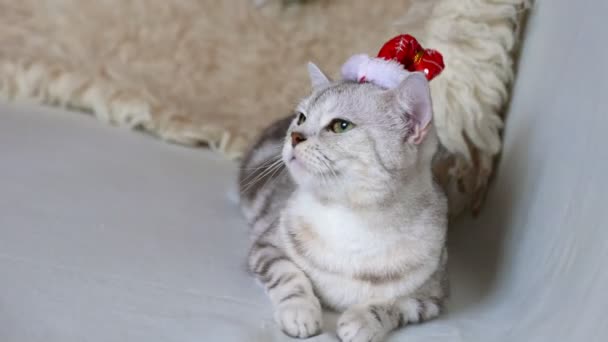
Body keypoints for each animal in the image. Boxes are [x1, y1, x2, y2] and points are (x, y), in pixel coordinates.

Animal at [240, 62, 448, 340]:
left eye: (341, 126)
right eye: (302, 118)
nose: (294, 135)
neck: (351, 219)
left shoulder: (433, 293)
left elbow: (397, 302)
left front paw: (363, 320)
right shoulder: (266, 246)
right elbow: (289, 274)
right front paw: (300, 311)